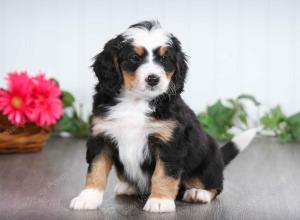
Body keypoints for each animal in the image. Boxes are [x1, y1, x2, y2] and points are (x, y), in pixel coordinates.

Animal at [69, 21, 255, 213]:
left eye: (165, 59)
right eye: (134, 58)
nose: (153, 79)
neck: (135, 102)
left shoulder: (169, 142)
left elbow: (163, 174)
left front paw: (160, 201)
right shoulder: (101, 136)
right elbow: (95, 169)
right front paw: (88, 198)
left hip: (207, 163)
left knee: (215, 186)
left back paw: (199, 193)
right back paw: (128, 186)